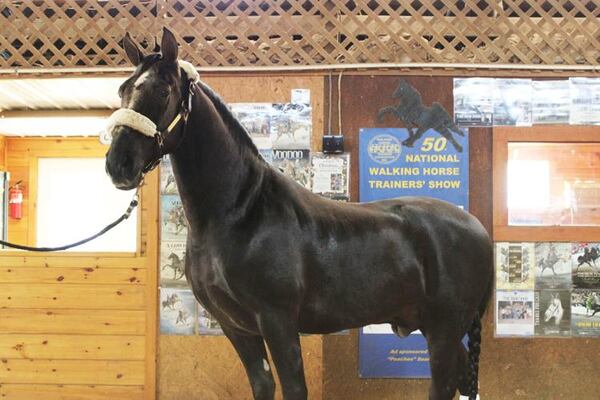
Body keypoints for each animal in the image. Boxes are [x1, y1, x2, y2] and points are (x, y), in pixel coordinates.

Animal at [105, 28, 494, 400]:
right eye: (122, 89)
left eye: (162, 90)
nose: (118, 164)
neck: (239, 212)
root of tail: (478, 229)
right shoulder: (237, 327)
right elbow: (262, 385)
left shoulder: (278, 322)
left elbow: (294, 388)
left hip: (445, 328)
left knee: (443, 385)